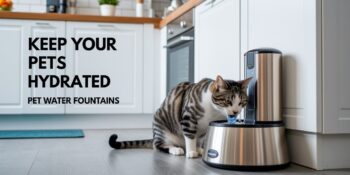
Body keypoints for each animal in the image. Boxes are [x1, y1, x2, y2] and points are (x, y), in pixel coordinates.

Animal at [109, 75, 252, 159]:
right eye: (228, 101)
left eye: (242, 102)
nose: (235, 111)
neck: (213, 111)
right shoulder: (188, 118)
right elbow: (190, 136)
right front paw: (191, 151)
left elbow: (200, 138)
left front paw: (198, 148)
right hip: (161, 125)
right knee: (158, 145)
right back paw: (175, 149)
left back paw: (199, 148)